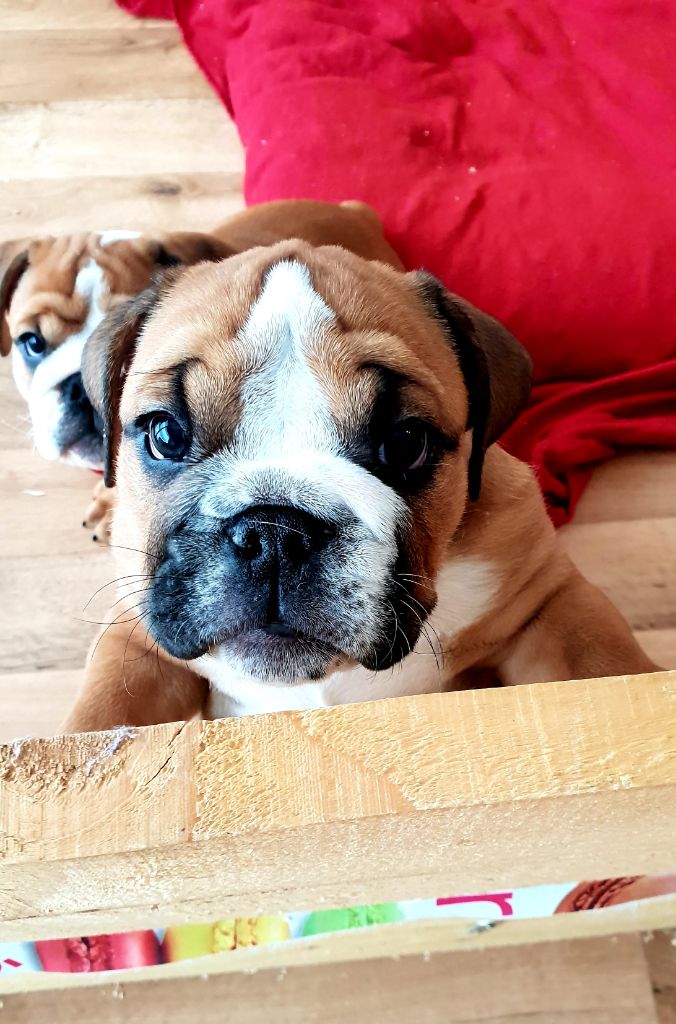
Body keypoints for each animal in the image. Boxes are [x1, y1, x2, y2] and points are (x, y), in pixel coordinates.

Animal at [61, 240, 658, 732]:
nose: (274, 531)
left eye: (406, 443)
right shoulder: (135, 640)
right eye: (165, 433)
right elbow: (99, 717)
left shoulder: (550, 602)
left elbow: (609, 665)